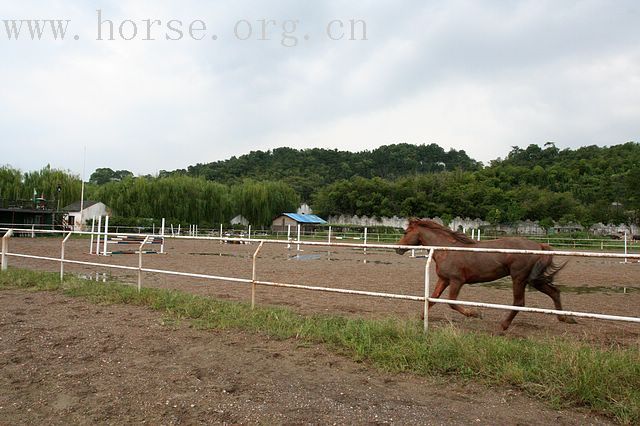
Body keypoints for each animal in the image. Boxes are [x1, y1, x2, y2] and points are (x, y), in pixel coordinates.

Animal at [396, 218, 576, 332]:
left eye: (405, 232)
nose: (397, 249)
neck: (446, 249)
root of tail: (538, 245)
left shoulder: (456, 281)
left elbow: (452, 302)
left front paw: (475, 314)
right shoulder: (444, 280)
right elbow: (432, 299)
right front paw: (421, 316)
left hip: (519, 278)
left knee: (519, 302)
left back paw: (503, 326)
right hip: (533, 280)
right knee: (554, 292)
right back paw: (566, 319)